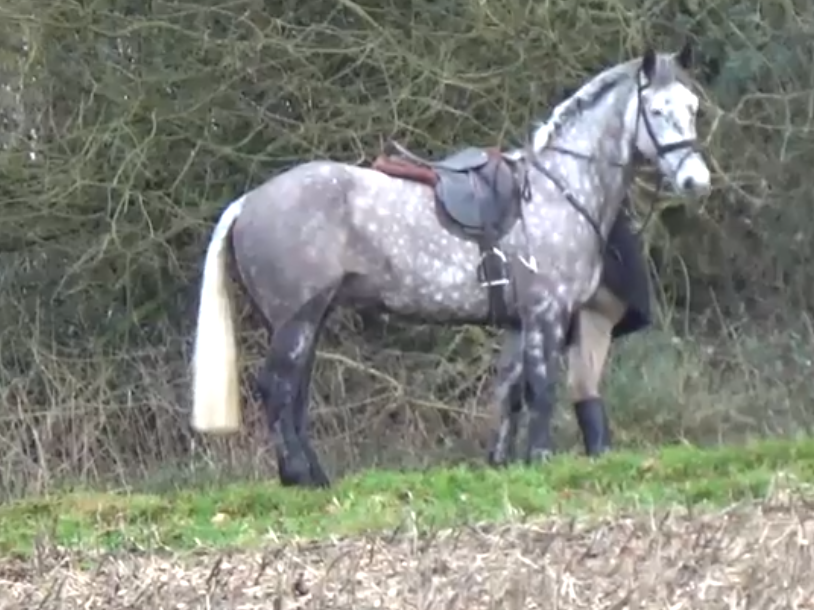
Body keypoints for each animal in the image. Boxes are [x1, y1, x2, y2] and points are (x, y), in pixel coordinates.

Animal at [194, 44, 712, 484]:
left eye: (691, 107)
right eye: (656, 110)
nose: (696, 180)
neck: (558, 188)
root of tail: (249, 201)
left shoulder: (520, 322)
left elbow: (511, 392)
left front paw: (503, 463)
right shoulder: (546, 313)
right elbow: (542, 388)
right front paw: (540, 459)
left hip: (308, 319)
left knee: (294, 393)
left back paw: (315, 476)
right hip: (295, 319)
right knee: (277, 389)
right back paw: (299, 477)